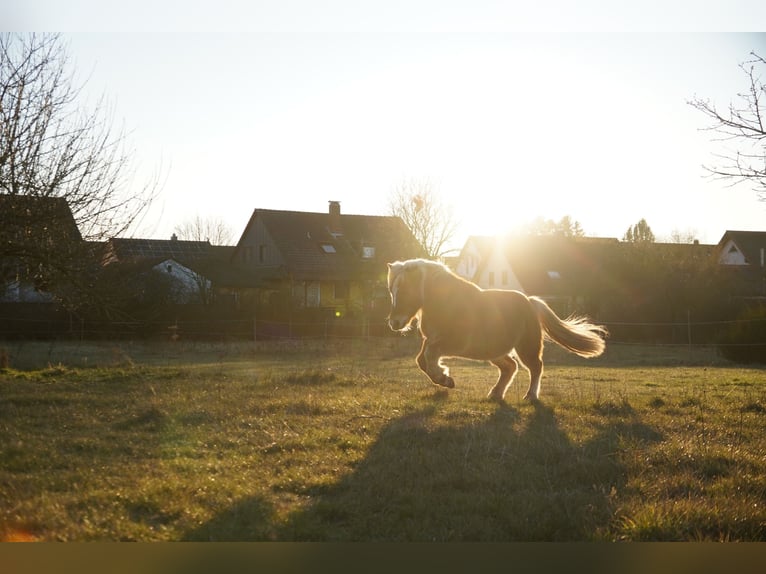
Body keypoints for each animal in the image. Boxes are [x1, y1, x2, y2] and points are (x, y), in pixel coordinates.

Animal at [386, 258, 608, 401]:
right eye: (391, 290)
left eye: (405, 290)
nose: (394, 323)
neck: (445, 302)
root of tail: (530, 302)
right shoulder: (431, 339)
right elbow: (421, 360)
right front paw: (445, 379)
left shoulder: (454, 342)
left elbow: (430, 356)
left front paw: (444, 378)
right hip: (494, 351)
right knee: (510, 367)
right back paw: (495, 394)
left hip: (525, 348)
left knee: (535, 367)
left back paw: (530, 396)